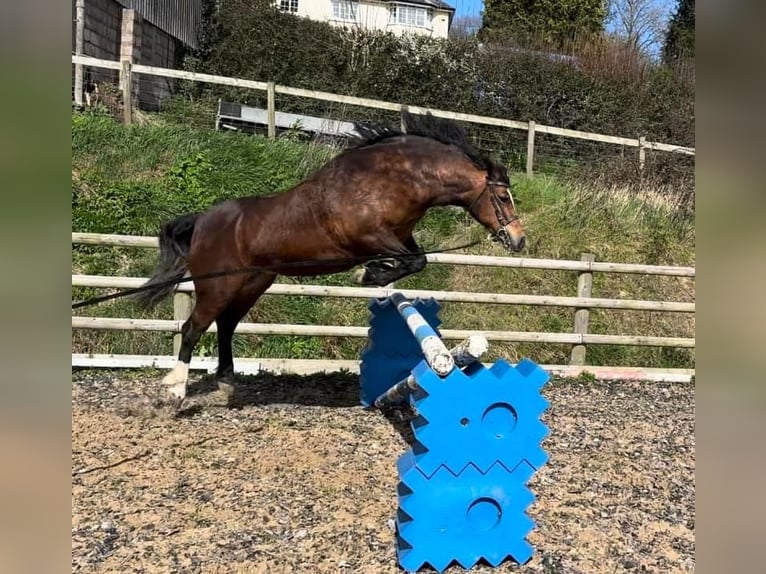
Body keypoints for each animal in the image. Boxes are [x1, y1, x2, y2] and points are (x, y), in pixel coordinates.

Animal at [135, 112, 524, 408]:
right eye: (504, 198)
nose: (518, 240)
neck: (392, 180)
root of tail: (202, 221)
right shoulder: (369, 238)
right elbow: (414, 261)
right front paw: (370, 275)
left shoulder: (400, 237)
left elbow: (416, 260)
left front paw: (376, 274)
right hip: (218, 285)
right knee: (193, 328)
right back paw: (176, 391)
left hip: (251, 284)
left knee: (226, 326)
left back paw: (227, 385)